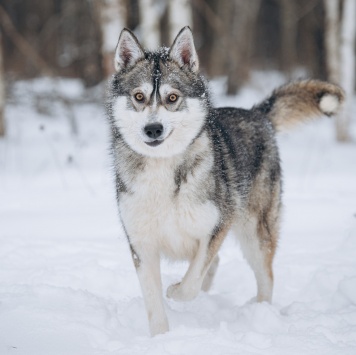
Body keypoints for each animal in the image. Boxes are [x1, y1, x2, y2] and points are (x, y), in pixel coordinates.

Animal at [106, 25, 344, 336]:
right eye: (138, 96)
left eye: (172, 98)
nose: (153, 129)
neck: (165, 171)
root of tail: (256, 114)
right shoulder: (141, 243)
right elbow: (155, 304)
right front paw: (161, 338)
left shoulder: (217, 225)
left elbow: (191, 281)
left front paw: (175, 290)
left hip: (255, 233)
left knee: (265, 277)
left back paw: (260, 315)